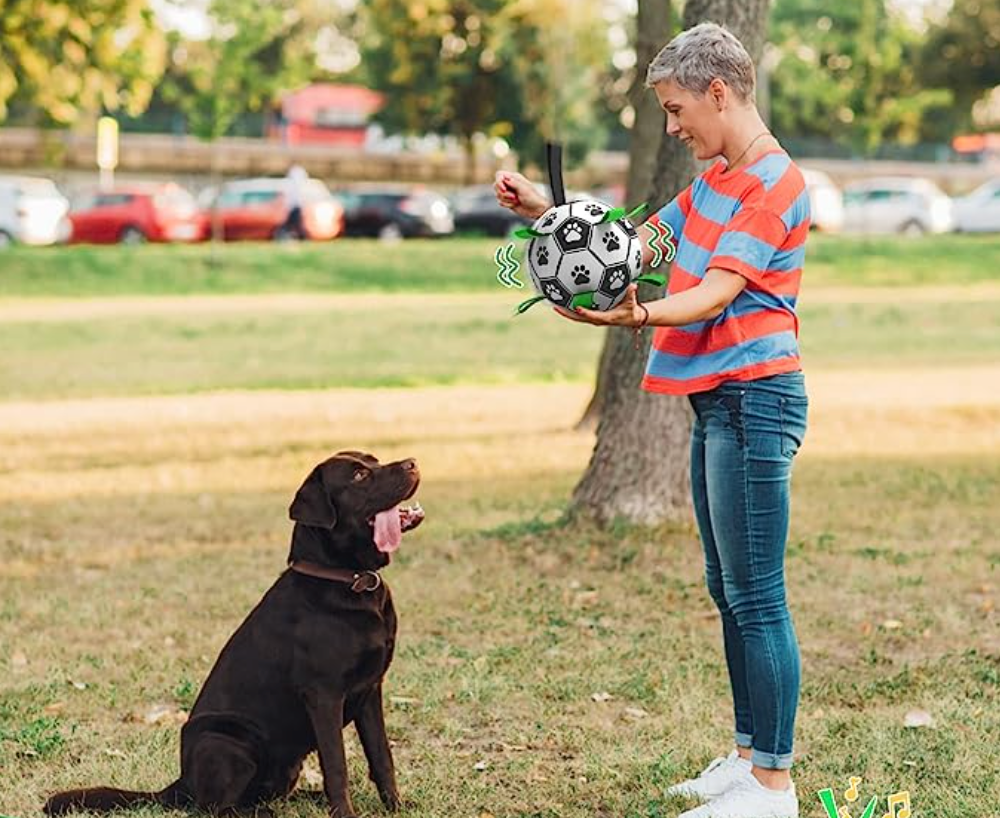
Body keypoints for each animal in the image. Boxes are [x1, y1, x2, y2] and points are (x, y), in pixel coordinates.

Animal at [46, 452, 422, 816]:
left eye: (374, 460)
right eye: (359, 475)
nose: (412, 462)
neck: (349, 580)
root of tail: (183, 782)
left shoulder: (370, 691)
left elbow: (382, 756)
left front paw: (397, 807)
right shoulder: (324, 695)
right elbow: (337, 766)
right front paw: (345, 813)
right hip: (227, 743)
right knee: (216, 807)